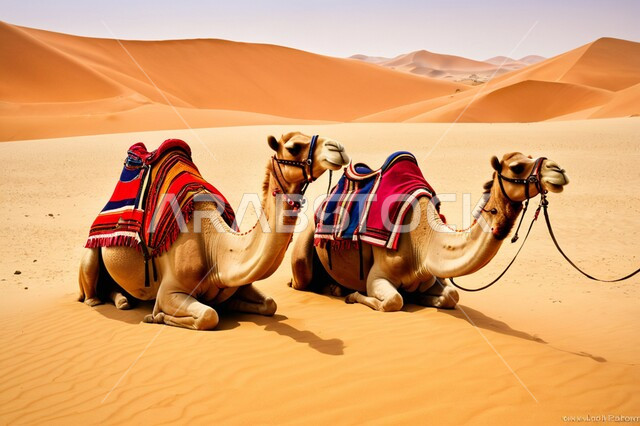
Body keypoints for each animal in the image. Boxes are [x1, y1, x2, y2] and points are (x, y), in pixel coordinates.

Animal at [78, 132, 350, 330]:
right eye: (294, 147)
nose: (339, 148)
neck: (216, 249)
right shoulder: (169, 291)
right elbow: (209, 316)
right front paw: (156, 316)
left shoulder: (238, 283)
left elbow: (270, 304)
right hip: (90, 254)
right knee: (91, 295)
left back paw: (124, 299)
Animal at [290, 152, 569, 311]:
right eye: (517, 167)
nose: (559, 170)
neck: (424, 242)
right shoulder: (378, 277)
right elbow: (393, 302)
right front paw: (353, 295)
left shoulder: (428, 274)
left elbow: (452, 295)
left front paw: (423, 299)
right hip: (303, 252)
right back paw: (334, 289)